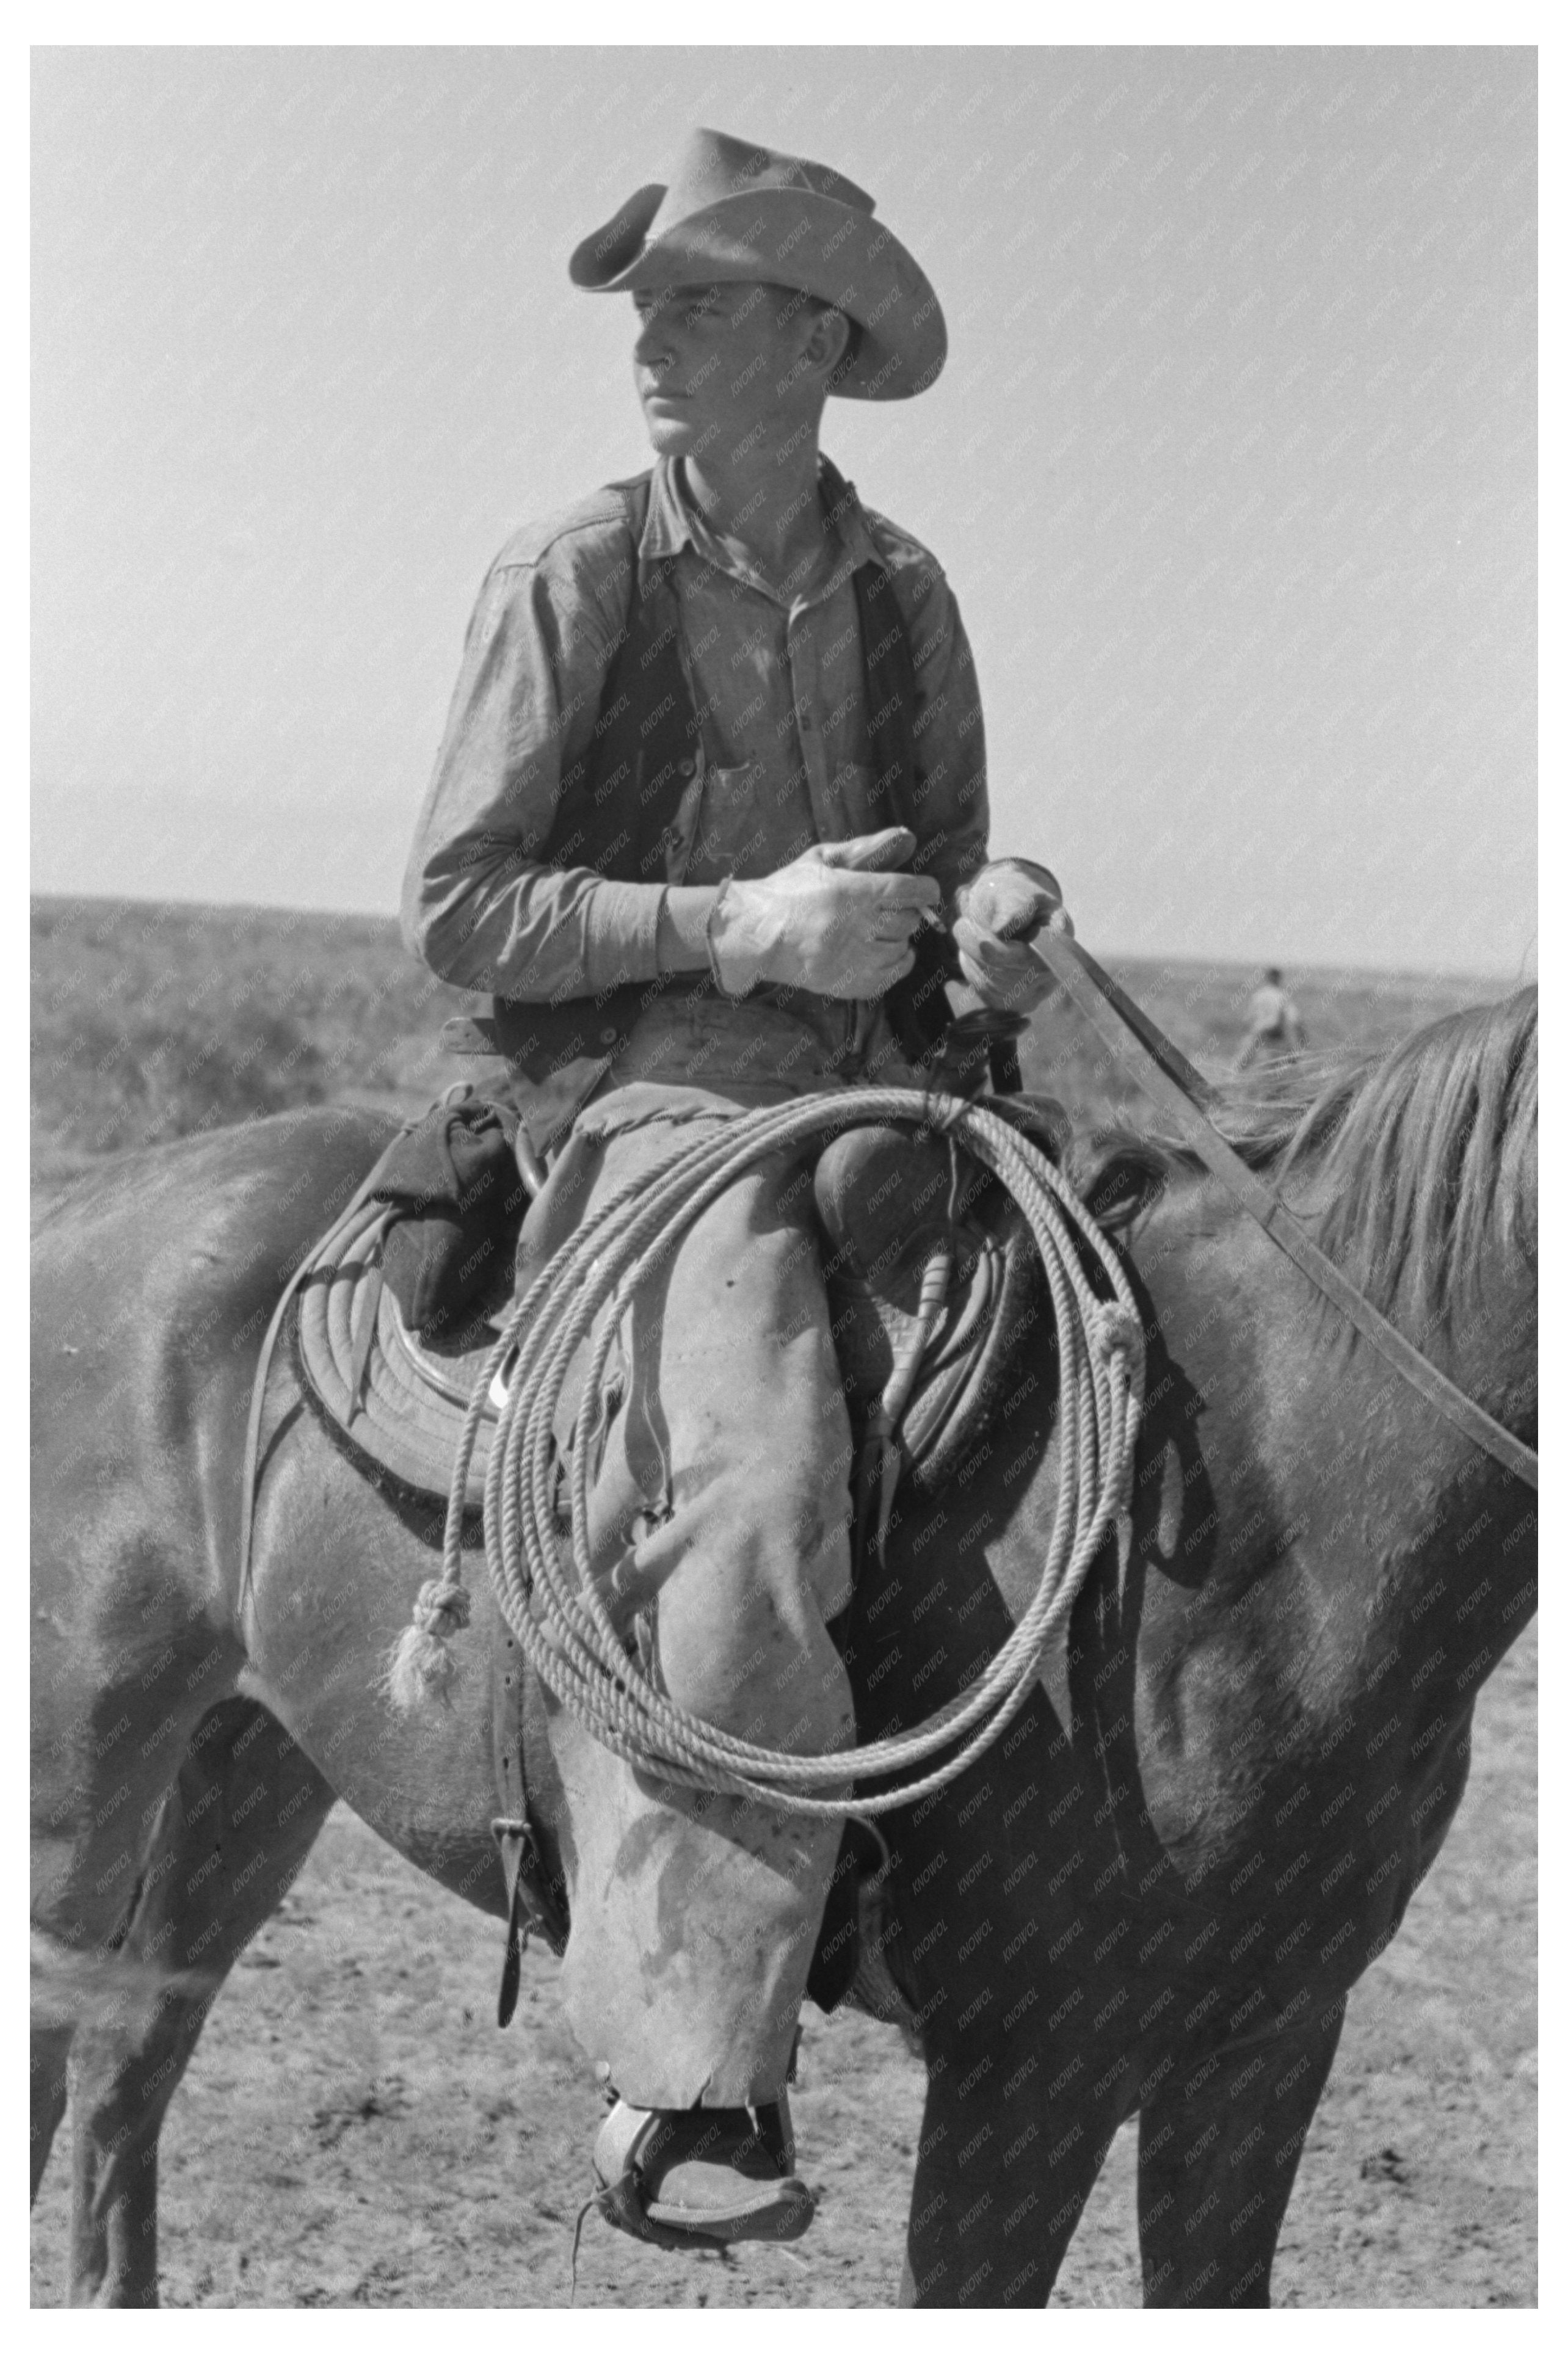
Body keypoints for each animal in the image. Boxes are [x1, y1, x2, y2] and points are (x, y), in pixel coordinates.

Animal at [31, 979, 1535, 2297]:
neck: (1277, 1483)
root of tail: (81, 1198)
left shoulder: (1265, 2047)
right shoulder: (1025, 2068)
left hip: (249, 1763)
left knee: (128, 2053)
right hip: (80, 1784)